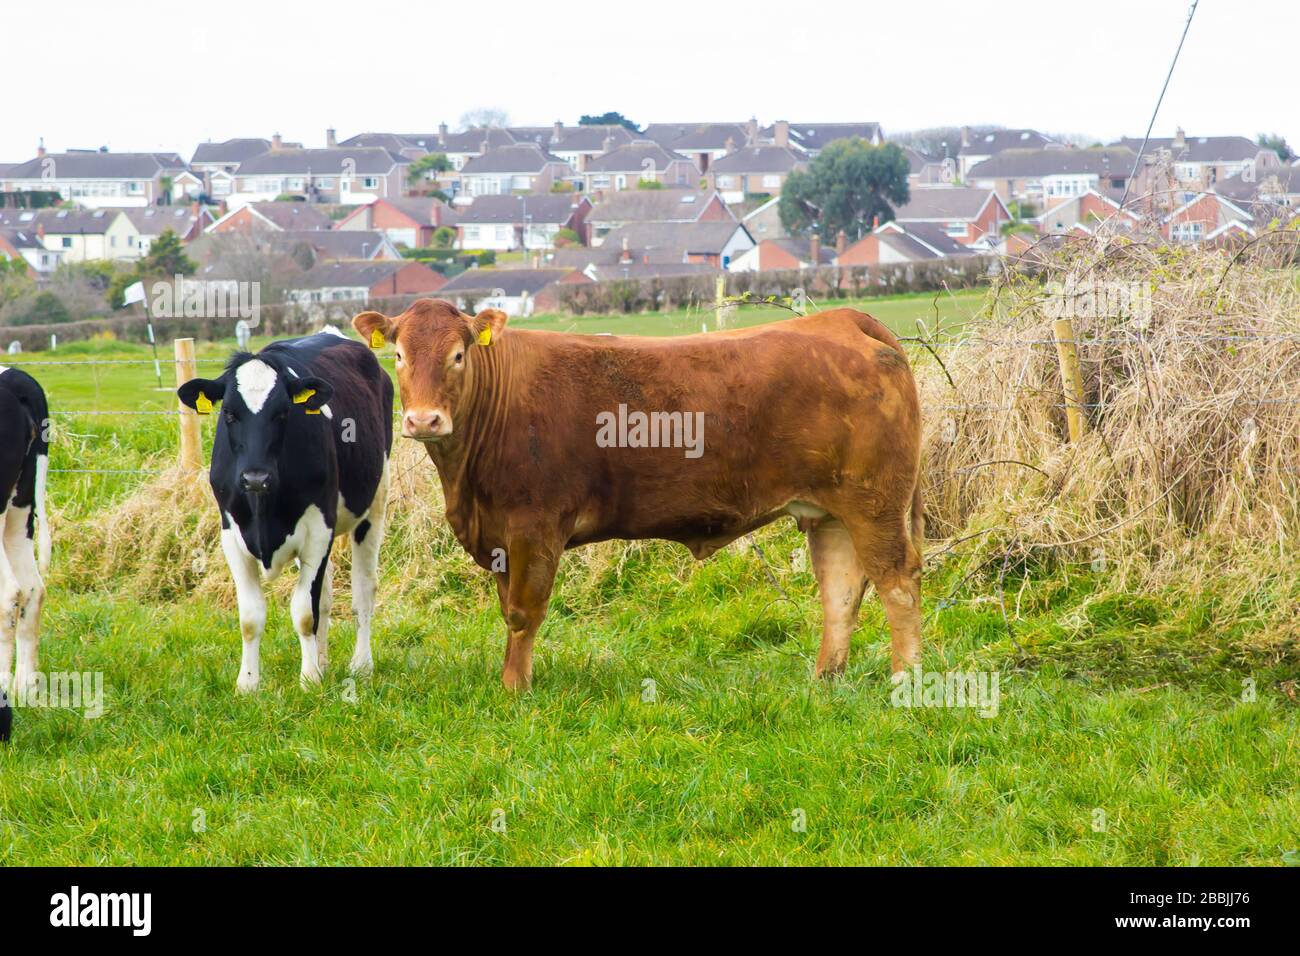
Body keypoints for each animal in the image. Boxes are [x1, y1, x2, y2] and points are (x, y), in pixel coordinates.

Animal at [178, 329, 392, 697]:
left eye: (282, 413)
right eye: (229, 414)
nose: (255, 477)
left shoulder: (318, 532)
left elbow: (305, 613)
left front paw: (308, 680)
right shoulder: (231, 537)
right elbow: (251, 617)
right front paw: (248, 683)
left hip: (373, 506)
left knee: (363, 591)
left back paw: (361, 666)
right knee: (327, 595)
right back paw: (323, 661)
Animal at [353, 299, 925, 686]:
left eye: (457, 355)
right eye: (398, 354)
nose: (423, 420)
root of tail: (841, 319)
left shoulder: (534, 526)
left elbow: (522, 611)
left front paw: (515, 689)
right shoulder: (498, 537)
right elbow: (507, 610)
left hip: (875, 503)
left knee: (896, 580)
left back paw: (905, 678)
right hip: (829, 511)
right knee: (842, 589)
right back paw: (825, 679)